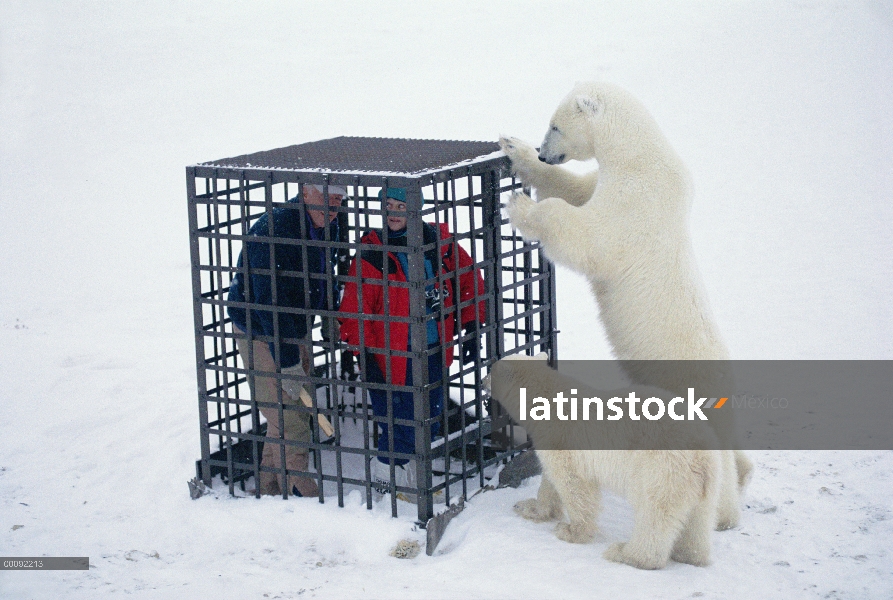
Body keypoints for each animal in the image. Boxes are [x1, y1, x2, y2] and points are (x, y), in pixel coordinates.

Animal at [498, 83, 748, 528]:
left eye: (555, 125)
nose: (544, 152)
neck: (641, 157)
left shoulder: (634, 204)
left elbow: (587, 237)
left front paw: (521, 206)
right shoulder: (611, 183)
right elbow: (576, 190)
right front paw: (515, 149)